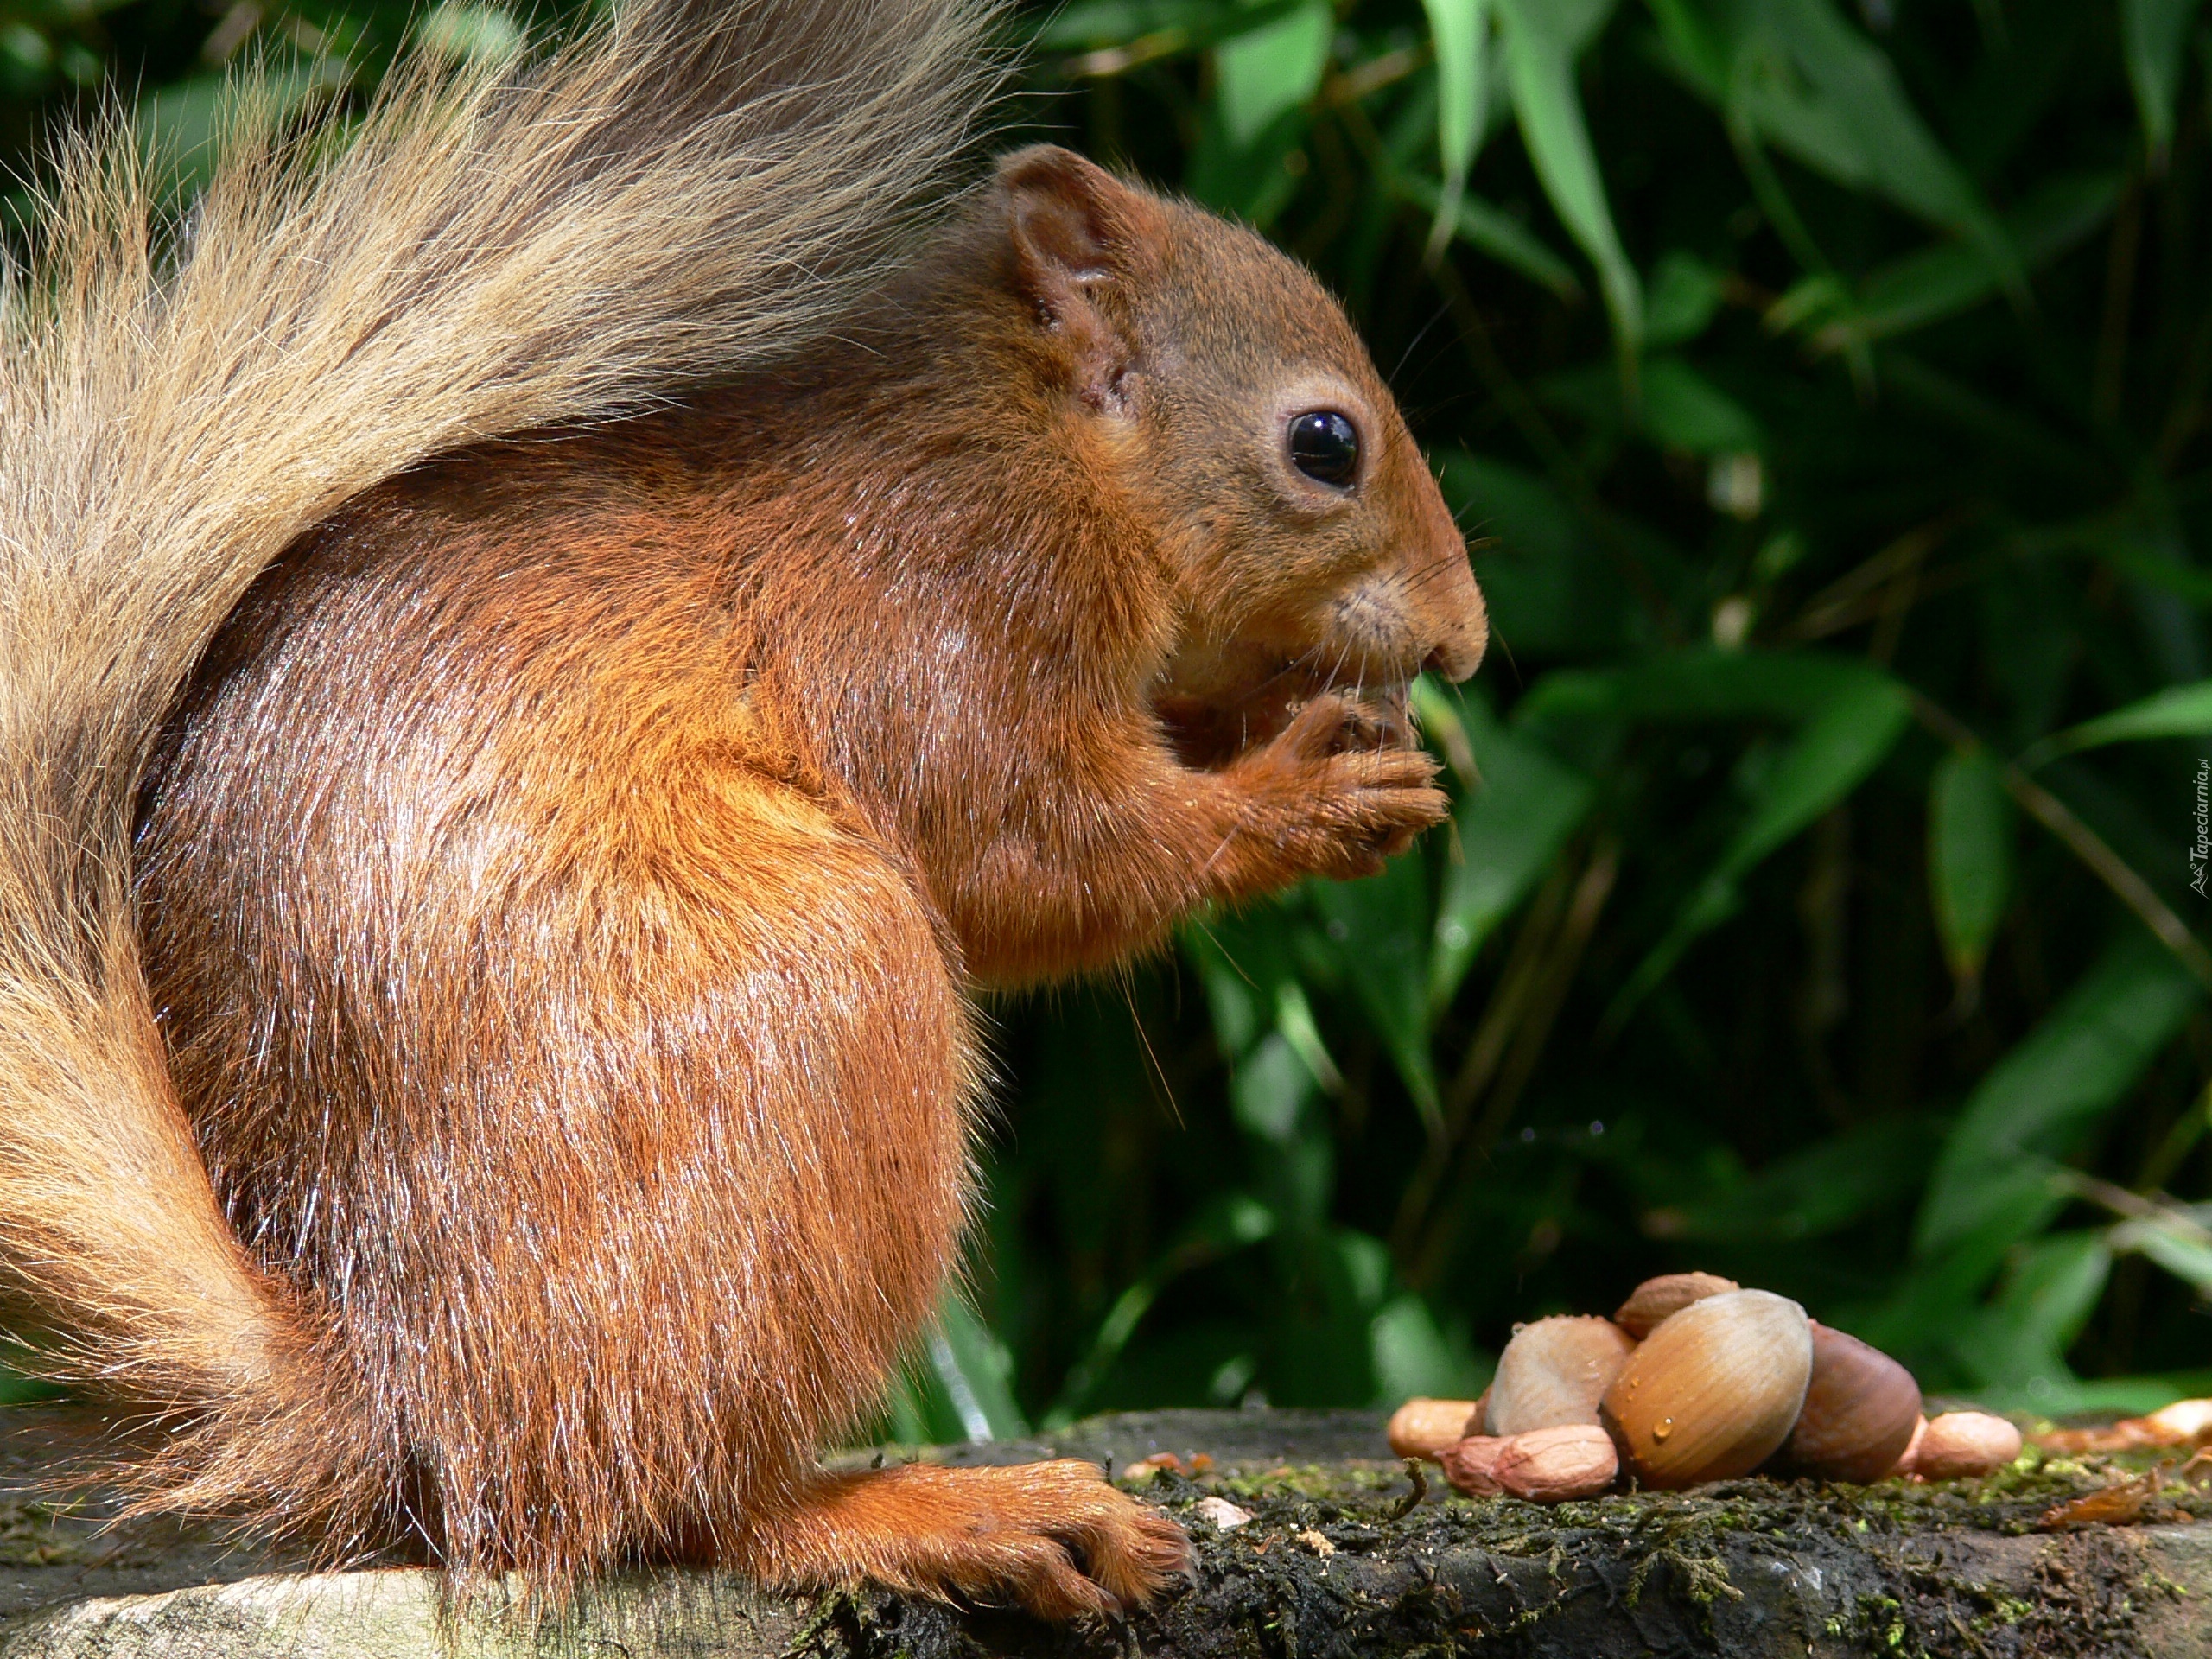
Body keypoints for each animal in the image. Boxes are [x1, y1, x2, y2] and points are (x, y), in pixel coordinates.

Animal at [4, 0, 1486, 1628]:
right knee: (663, 1502)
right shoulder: (941, 610)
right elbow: (1039, 858)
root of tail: (405, 1396)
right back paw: (944, 1514)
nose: (1470, 642)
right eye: (1326, 444)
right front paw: (1312, 792)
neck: (1026, 439)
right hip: (823, 1000)